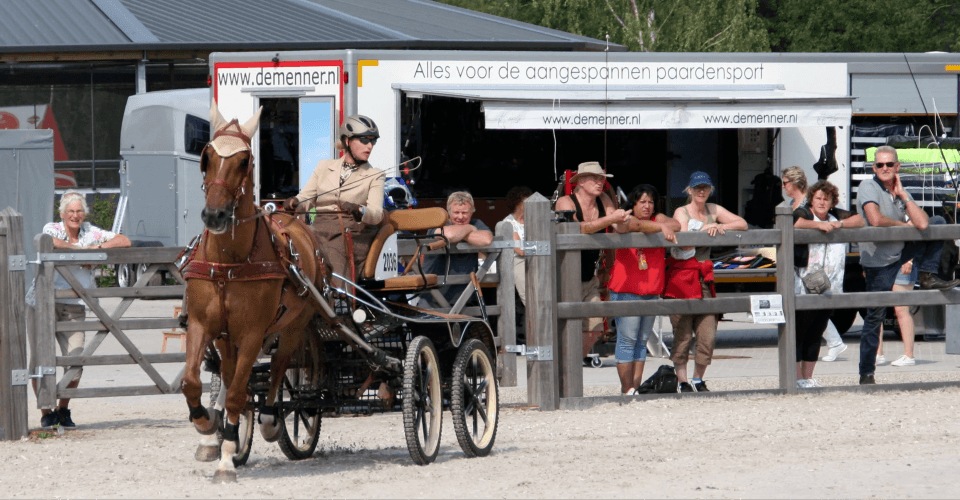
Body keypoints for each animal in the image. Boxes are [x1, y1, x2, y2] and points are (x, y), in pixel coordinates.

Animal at [180, 102, 326, 484]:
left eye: (244, 161)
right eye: (206, 156)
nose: (214, 214)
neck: (230, 261)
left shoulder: (251, 333)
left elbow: (236, 393)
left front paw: (227, 459)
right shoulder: (202, 326)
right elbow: (193, 383)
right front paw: (207, 426)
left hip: (292, 327)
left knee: (277, 369)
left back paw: (271, 419)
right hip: (225, 338)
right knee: (235, 377)